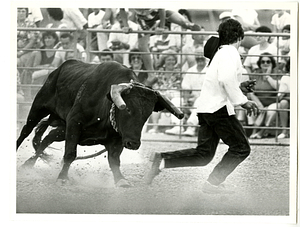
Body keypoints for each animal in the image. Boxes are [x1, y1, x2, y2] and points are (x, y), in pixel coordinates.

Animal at [17, 59, 185, 187]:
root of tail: (58, 70)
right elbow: (70, 154)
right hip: (39, 108)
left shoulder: (117, 139)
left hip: (62, 128)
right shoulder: (74, 123)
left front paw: (120, 180)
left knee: (47, 137)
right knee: (26, 130)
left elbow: (114, 161)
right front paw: (62, 178)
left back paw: (28, 164)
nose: (133, 144)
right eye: (127, 109)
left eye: (147, 114)